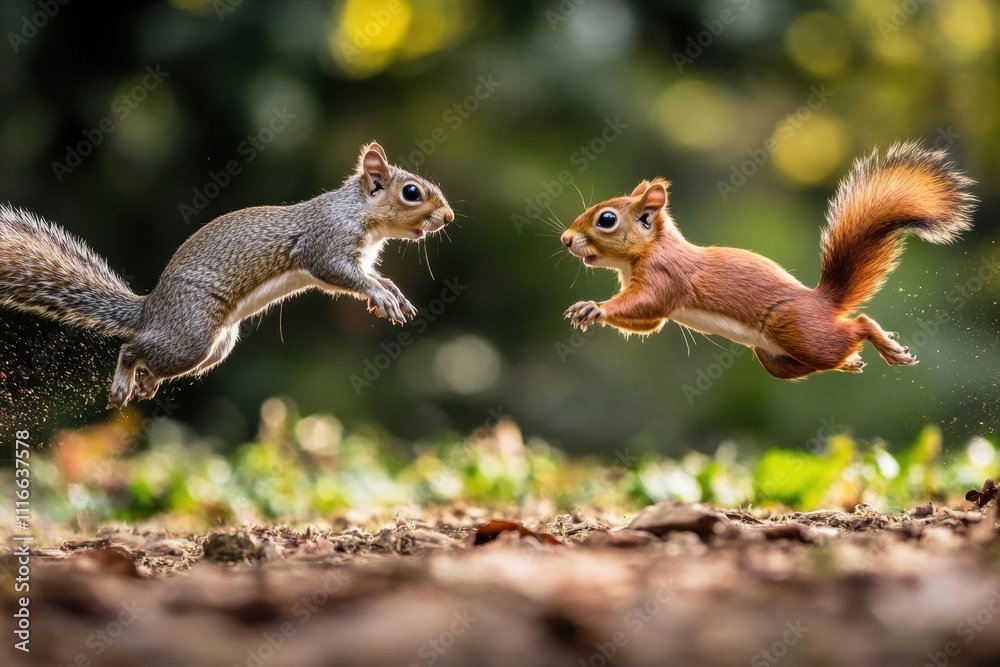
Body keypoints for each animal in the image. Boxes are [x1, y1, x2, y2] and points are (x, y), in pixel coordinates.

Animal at [0, 142, 454, 408]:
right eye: (411, 192)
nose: (448, 217)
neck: (360, 213)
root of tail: (150, 310)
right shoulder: (324, 243)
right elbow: (343, 274)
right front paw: (380, 296)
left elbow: (372, 277)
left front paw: (391, 291)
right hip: (190, 334)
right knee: (131, 348)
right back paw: (123, 384)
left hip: (215, 347)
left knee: (153, 358)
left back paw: (146, 384)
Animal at [561, 142, 976, 379]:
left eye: (607, 219)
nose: (565, 240)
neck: (648, 250)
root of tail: (823, 301)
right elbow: (649, 322)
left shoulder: (665, 276)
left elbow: (646, 303)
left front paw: (594, 307)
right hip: (777, 359)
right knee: (832, 354)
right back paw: (851, 362)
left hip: (796, 329)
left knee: (857, 326)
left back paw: (883, 344)